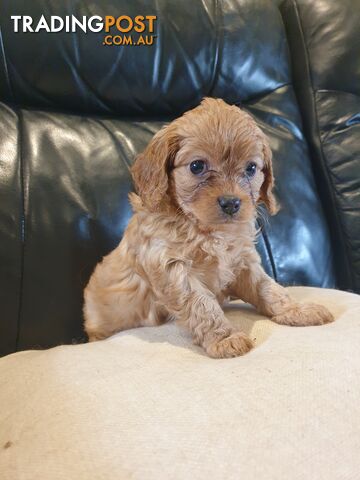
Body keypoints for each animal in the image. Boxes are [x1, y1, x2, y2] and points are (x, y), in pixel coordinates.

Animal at [83, 97, 334, 358]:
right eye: (197, 166)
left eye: (251, 168)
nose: (231, 203)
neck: (207, 230)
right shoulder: (173, 269)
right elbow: (201, 304)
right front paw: (225, 338)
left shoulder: (243, 262)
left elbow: (269, 288)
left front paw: (296, 309)